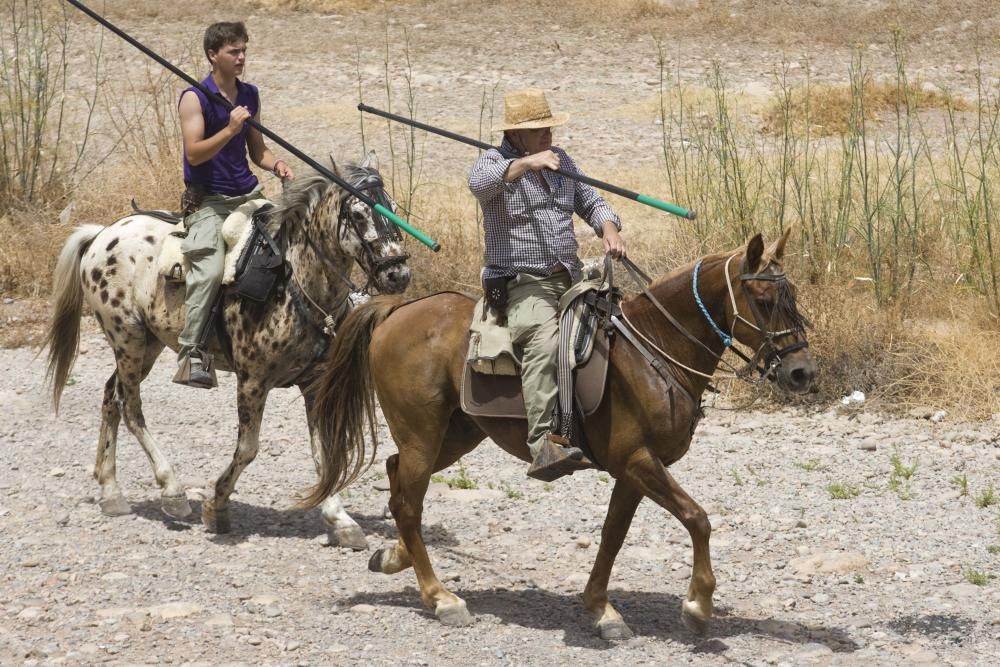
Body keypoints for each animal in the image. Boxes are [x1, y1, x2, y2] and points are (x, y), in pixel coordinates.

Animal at [45, 154, 408, 552]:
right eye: (358, 214)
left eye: (392, 208)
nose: (399, 273)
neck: (294, 282)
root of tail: (102, 235)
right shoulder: (252, 382)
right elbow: (248, 449)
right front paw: (216, 505)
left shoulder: (313, 385)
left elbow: (325, 453)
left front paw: (341, 520)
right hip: (128, 339)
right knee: (131, 408)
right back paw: (172, 491)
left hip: (146, 346)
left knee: (111, 397)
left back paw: (111, 491)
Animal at [302, 231, 812, 640]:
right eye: (764, 300)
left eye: (793, 296)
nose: (802, 372)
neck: (653, 349)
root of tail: (396, 310)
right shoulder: (637, 461)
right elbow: (697, 519)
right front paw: (698, 605)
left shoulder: (633, 471)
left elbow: (613, 534)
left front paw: (602, 609)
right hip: (423, 436)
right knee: (409, 503)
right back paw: (440, 598)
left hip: (454, 435)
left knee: (396, 481)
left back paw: (394, 557)